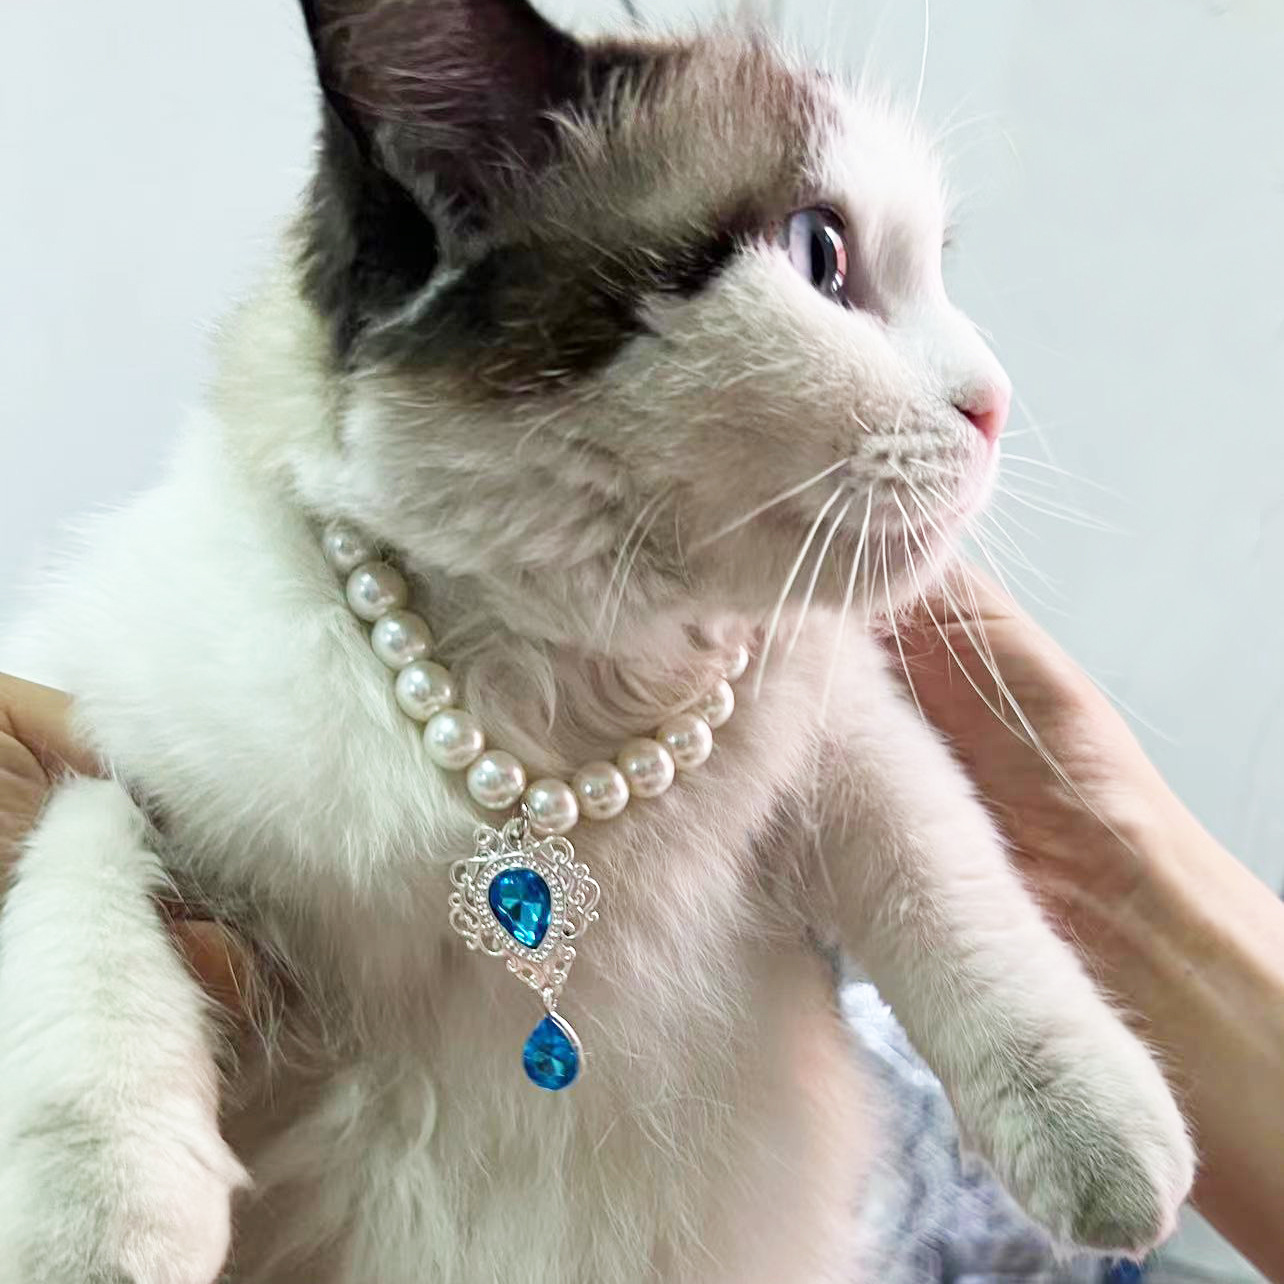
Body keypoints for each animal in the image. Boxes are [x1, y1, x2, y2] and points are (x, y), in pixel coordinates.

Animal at [0, 2, 1191, 1284]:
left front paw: (1108, 1149)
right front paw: (99, 1222)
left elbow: (948, 875)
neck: (566, 701)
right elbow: (84, 861)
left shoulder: (835, 719)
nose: (997, 405)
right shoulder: (90, 733)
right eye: (820, 256)